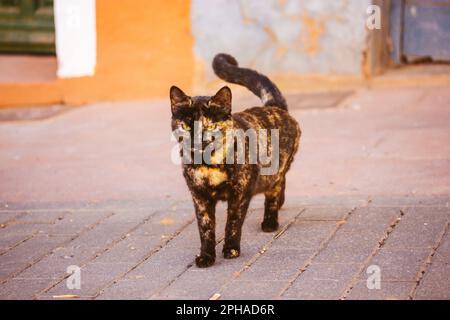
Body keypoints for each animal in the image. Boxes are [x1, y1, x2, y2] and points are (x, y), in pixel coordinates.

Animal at [171, 53, 300, 268]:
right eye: (186, 126)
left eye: (210, 125)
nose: (197, 139)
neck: (208, 165)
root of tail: (273, 107)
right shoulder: (199, 196)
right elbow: (205, 228)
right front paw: (206, 256)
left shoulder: (240, 193)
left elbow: (233, 222)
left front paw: (231, 250)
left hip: (275, 170)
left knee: (275, 189)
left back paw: (270, 221)